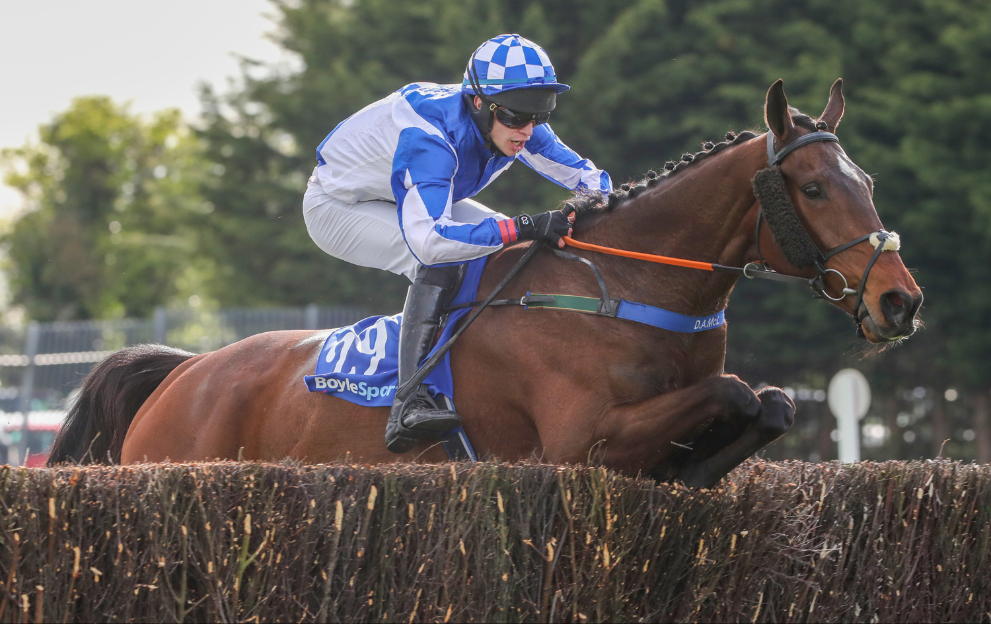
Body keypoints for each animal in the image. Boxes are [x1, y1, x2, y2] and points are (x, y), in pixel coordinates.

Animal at [50, 78, 928, 488]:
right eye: (812, 188)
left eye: (866, 180)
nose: (899, 299)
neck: (623, 286)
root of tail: (187, 370)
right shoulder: (579, 441)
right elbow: (741, 392)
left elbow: (770, 402)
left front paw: (696, 467)